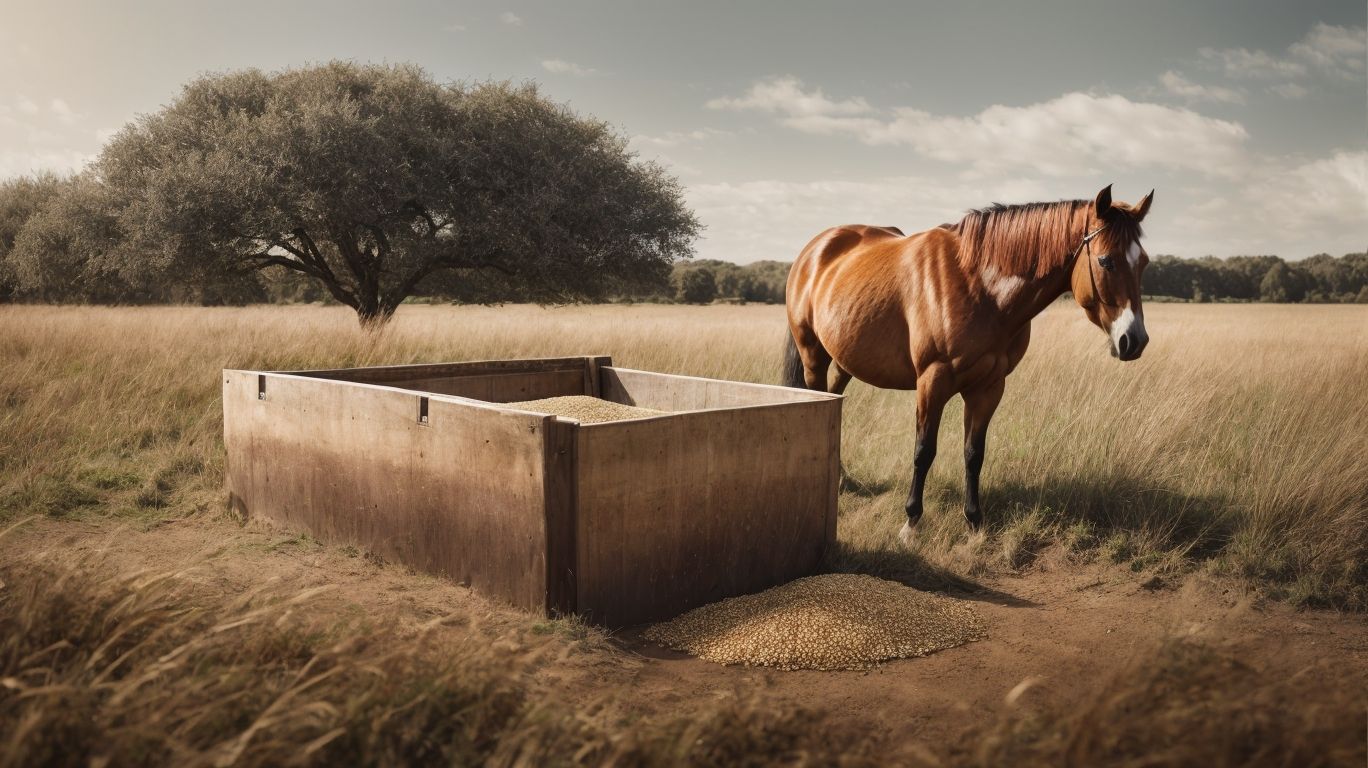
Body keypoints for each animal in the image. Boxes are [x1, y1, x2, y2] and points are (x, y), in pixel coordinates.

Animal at [782, 184, 1153, 543]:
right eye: (1105, 261)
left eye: (1144, 263)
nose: (1134, 340)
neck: (980, 286)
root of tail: (814, 251)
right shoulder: (932, 382)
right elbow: (924, 451)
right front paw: (911, 522)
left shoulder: (988, 387)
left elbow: (974, 453)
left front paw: (974, 521)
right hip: (814, 356)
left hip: (846, 362)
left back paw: (842, 477)